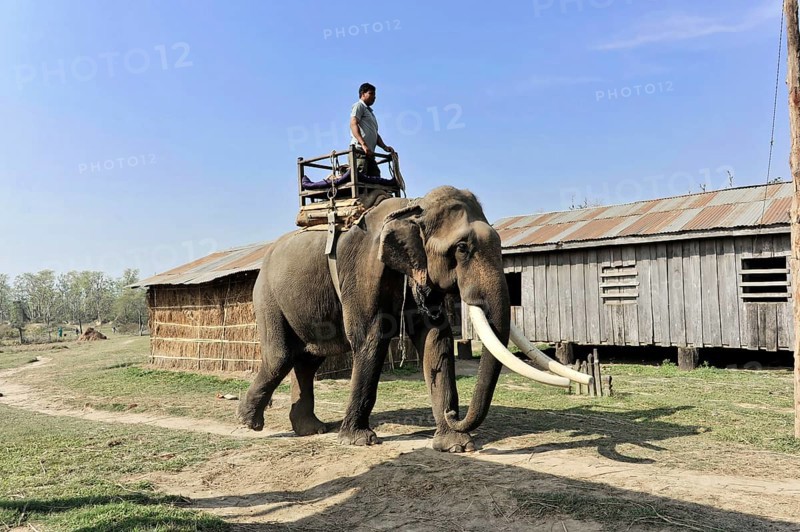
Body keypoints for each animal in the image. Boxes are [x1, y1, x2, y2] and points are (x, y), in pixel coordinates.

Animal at [237, 186, 578, 452]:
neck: (413, 208)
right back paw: (249, 423)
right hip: (266, 296)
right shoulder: (361, 269)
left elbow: (435, 339)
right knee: (281, 356)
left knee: (308, 359)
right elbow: (370, 337)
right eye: (462, 248)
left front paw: (457, 445)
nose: (455, 414)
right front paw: (360, 441)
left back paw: (311, 429)